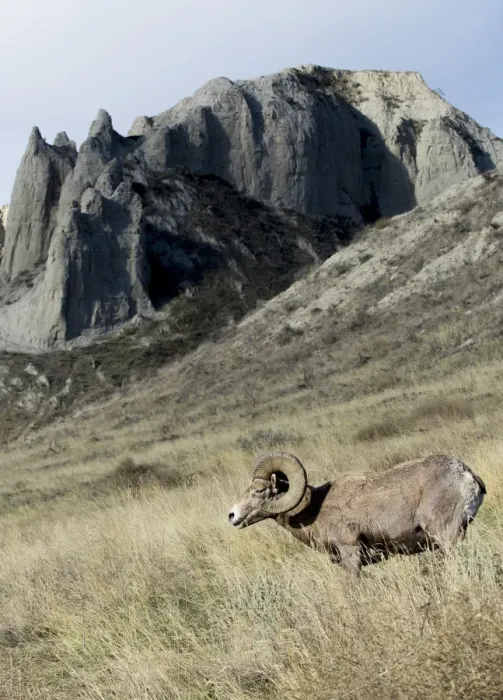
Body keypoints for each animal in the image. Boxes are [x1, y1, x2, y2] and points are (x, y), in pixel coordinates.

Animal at [228, 451, 486, 576]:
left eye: (259, 490)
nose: (232, 515)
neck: (315, 510)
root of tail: (467, 474)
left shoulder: (350, 553)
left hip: (446, 537)